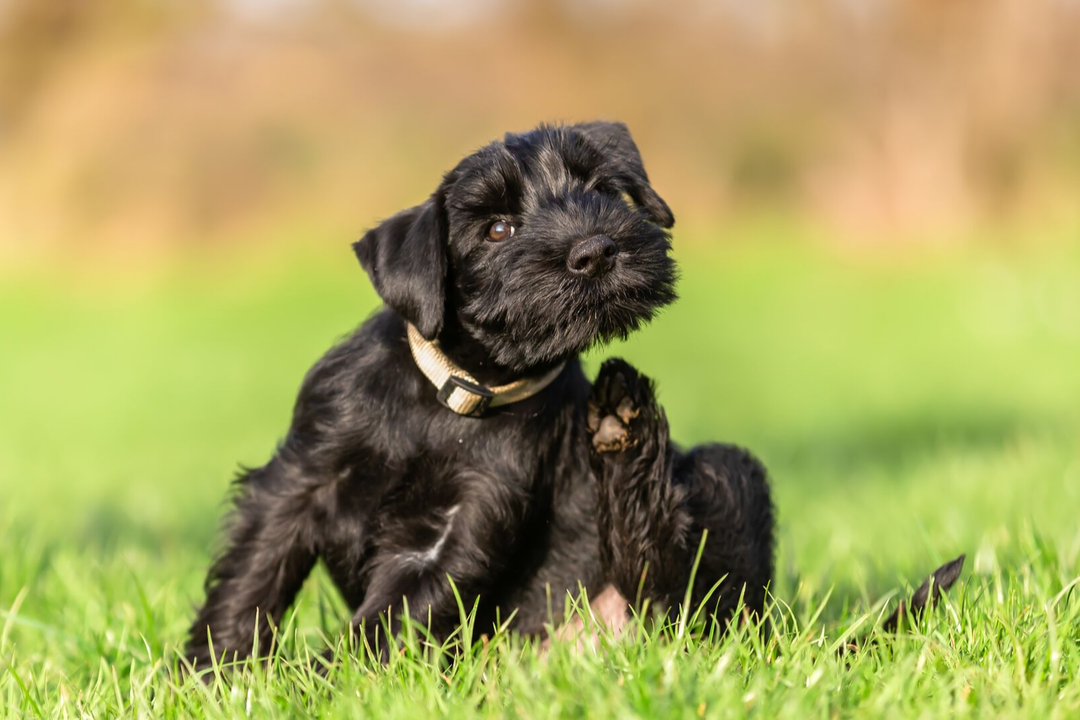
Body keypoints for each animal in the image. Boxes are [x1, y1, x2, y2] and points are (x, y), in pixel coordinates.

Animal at [185, 119, 777, 669]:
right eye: (497, 229)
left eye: (603, 190)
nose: (595, 251)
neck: (457, 393)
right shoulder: (299, 480)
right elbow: (253, 578)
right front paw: (212, 673)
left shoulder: (465, 521)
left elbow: (387, 620)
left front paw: (317, 683)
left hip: (727, 475)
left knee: (682, 597)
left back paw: (626, 423)